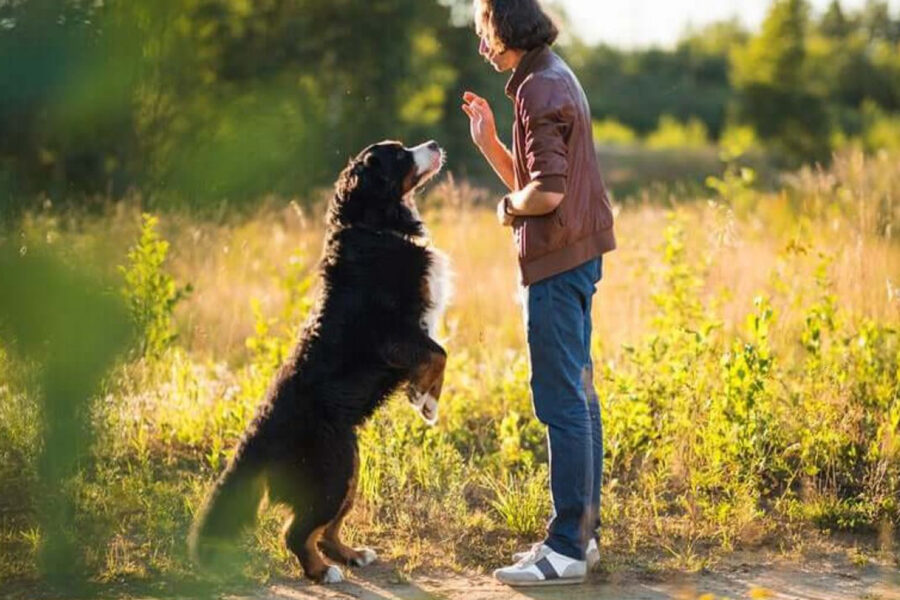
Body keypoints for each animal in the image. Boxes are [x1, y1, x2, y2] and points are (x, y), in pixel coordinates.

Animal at [192, 139, 454, 580]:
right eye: (400, 154)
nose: (434, 144)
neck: (372, 227)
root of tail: (256, 437)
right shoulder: (394, 334)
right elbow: (438, 353)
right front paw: (424, 399)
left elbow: (438, 353)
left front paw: (426, 401)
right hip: (333, 471)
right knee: (298, 532)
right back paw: (322, 571)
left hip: (350, 467)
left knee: (326, 529)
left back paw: (352, 554)